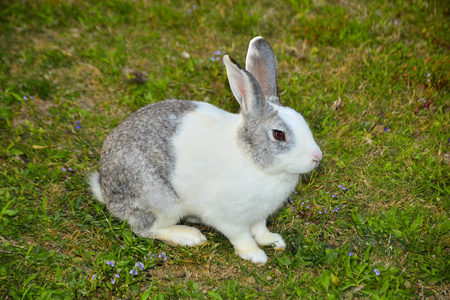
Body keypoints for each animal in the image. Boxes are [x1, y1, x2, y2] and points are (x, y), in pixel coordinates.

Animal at [89, 37, 322, 262]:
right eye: (279, 134)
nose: (317, 157)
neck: (254, 162)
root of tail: (106, 189)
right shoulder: (228, 218)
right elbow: (242, 236)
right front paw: (255, 255)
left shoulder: (259, 215)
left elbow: (260, 229)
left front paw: (273, 241)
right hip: (159, 200)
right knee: (144, 228)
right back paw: (189, 236)